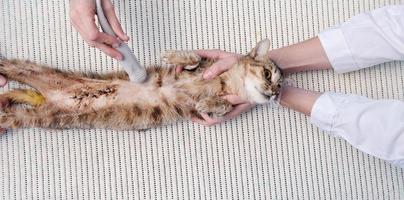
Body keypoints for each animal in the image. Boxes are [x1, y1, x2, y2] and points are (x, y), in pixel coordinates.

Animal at [0, 38, 282, 131]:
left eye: (279, 87)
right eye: (268, 74)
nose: (273, 95)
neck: (225, 83)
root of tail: (48, 96)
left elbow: (221, 106)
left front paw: (210, 102)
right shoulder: (202, 66)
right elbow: (194, 58)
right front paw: (174, 55)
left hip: (38, 117)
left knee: (10, 115)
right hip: (26, 68)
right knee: (9, 66)